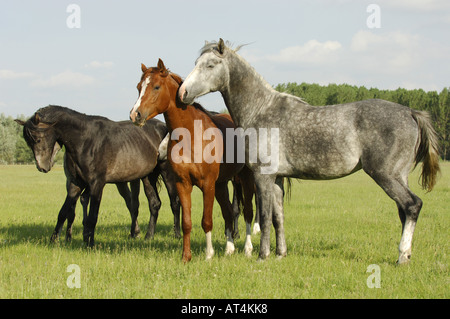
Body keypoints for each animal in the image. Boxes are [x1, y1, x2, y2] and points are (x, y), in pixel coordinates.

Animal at [15, 105, 181, 248]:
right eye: (29, 142)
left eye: (38, 139)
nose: (43, 167)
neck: (86, 140)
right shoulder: (76, 184)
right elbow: (64, 212)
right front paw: (54, 240)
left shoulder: (97, 184)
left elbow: (93, 216)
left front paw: (90, 243)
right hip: (147, 177)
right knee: (154, 203)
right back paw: (148, 236)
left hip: (166, 173)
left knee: (174, 202)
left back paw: (177, 235)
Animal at [130, 60, 255, 262]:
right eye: (139, 87)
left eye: (156, 86)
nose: (135, 115)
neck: (192, 136)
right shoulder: (183, 183)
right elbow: (186, 222)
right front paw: (186, 257)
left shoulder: (207, 184)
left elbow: (207, 220)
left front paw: (208, 254)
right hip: (221, 184)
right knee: (228, 212)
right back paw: (229, 248)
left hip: (244, 179)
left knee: (248, 212)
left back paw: (248, 249)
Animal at [178, 39, 440, 264]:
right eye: (196, 63)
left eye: (210, 65)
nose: (183, 93)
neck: (261, 109)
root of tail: (410, 112)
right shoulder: (277, 179)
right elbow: (278, 218)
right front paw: (280, 254)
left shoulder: (263, 177)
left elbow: (264, 218)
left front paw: (262, 256)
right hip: (399, 176)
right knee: (404, 211)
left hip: (385, 175)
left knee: (412, 205)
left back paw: (402, 255)